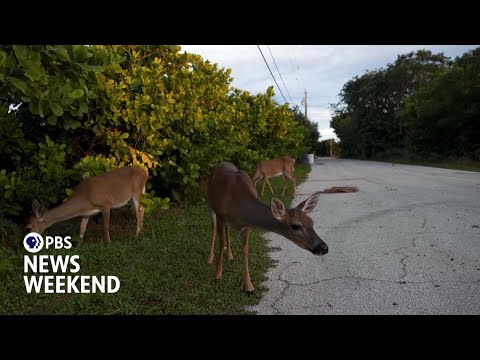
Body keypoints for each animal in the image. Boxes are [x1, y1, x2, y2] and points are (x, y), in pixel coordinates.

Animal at [206, 162, 326, 294]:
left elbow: (245, 250)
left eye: (311, 222)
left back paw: (230, 256)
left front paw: (249, 287)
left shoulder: (246, 226)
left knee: (227, 229)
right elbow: (221, 243)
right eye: (296, 226)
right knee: (213, 227)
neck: (239, 208)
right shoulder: (220, 215)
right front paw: (217, 275)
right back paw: (210, 258)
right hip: (210, 206)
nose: (324, 248)